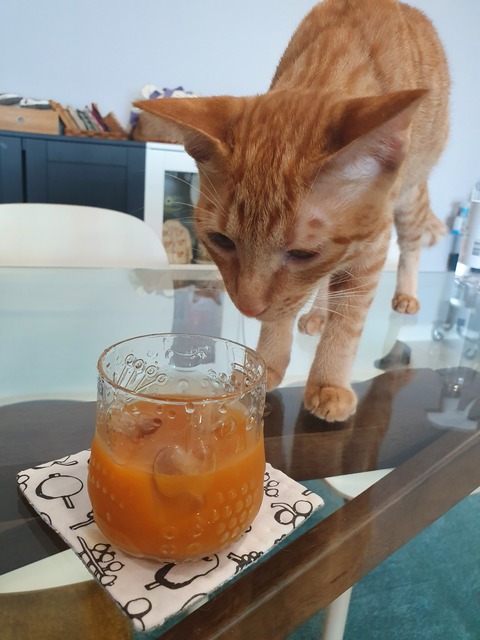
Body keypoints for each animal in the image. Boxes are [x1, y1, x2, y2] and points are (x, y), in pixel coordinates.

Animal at [135, 0, 450, 422]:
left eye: (302, 253)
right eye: (221, 241)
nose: (248, 306)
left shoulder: (371, 247)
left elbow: (348, 320)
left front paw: (329, 382)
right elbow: (287, 306)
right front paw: (266, 362)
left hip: (411, 198)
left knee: (411, 248)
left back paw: (404, 295)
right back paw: (317, 313)